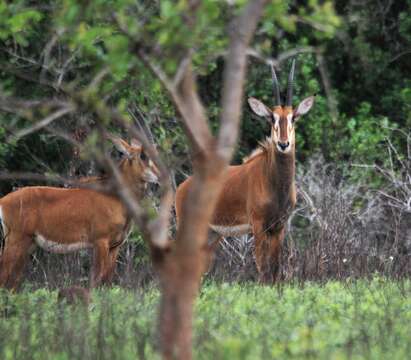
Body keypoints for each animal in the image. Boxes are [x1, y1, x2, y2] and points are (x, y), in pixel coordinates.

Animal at [0, 136, 159, 290]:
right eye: (142, 155)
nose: (159, 176)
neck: (115, 195)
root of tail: (3, 201)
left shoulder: (115, 246)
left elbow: (107, 281)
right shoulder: (100, 241)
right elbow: (97, 279)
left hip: (28, 244)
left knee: (13, 282)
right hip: (16, 240)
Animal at [175, 60, 316, 282]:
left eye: (293, 118)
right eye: (272, 118)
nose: (283, 144)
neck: (275, 182)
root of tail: (181, 187)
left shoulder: (279, 227)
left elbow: (275, 268)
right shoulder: (258, 225)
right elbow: (263, 267)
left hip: (212, 234)